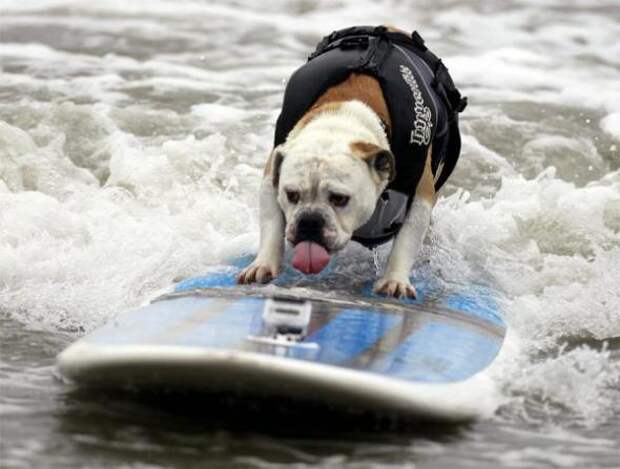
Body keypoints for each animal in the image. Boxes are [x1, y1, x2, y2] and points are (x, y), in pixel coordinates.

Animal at [237, 26, 464, 296]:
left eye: (339, 199)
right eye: (291, 195)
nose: (309, 221)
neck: (341, 117)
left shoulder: (422, 196)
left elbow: (407, 239)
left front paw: (395, 279)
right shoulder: (273, 170)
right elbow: (271, 222)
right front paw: (263, 263)